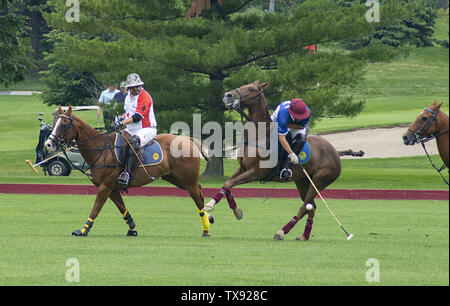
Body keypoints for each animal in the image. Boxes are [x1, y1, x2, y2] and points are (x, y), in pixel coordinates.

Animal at [44, 104, 211, 237]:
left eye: (64, 124)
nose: (48, 144)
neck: (101, 149)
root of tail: (189, 139)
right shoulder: (112, 188)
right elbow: (122, 208)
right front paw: (132, 229)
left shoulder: (105, 187)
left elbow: (95, 209)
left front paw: (83, 230)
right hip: (176, 179)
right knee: (200, 192)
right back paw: (208, 221)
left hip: (187, 180)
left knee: (198, 198)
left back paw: (206, 229)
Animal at [206, 81, 342, 241]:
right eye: (245, 84)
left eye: (251, 89)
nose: (228, 95)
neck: (257, 136)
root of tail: (336, 154)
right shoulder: (242, 168)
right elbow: (227, 185)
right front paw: (236, 211)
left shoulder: (254, 173)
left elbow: (229, 183)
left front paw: (210, 206)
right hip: (303, 181)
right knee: (312, 206)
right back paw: (304, 235)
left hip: (320, 180)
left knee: (305, 206)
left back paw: (281, 231)